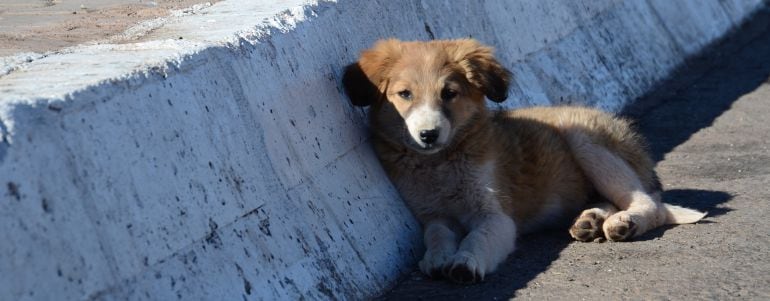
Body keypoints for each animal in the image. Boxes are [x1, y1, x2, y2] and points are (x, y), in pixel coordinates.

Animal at [340, 38, 704, 282]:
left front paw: (465, 262)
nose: (428, 135)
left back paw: (623, 223)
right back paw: (590, 220)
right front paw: (438, 258)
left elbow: (478, 237)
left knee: (650, 204)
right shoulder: (433, 215)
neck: (441, 162)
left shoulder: (496, 216)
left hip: (584, 139)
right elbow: (437, 235)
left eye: (449, 94)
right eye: (404, 94)